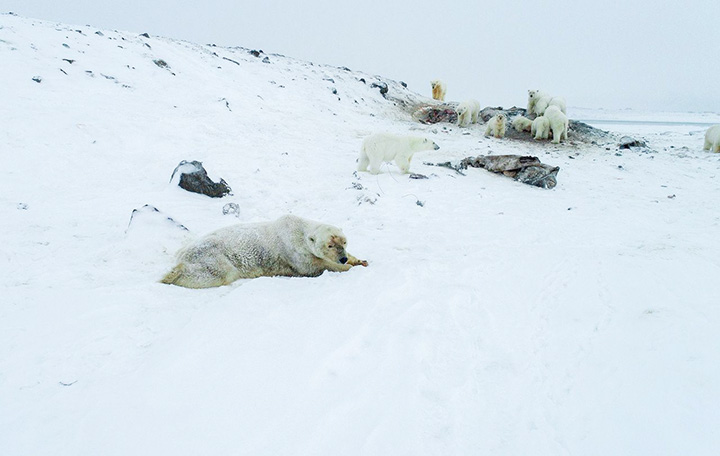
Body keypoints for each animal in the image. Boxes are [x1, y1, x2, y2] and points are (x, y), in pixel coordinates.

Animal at [161, 215, 368, 288]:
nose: (342, 258)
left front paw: (359, 260)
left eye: (344, 242)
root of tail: (182, 254)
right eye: (330, 245)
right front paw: (346, 268)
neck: (299, 230)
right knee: (216, 273)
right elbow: (313, 266)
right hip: (212, 256)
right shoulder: (293, 251)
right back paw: (171, 275)